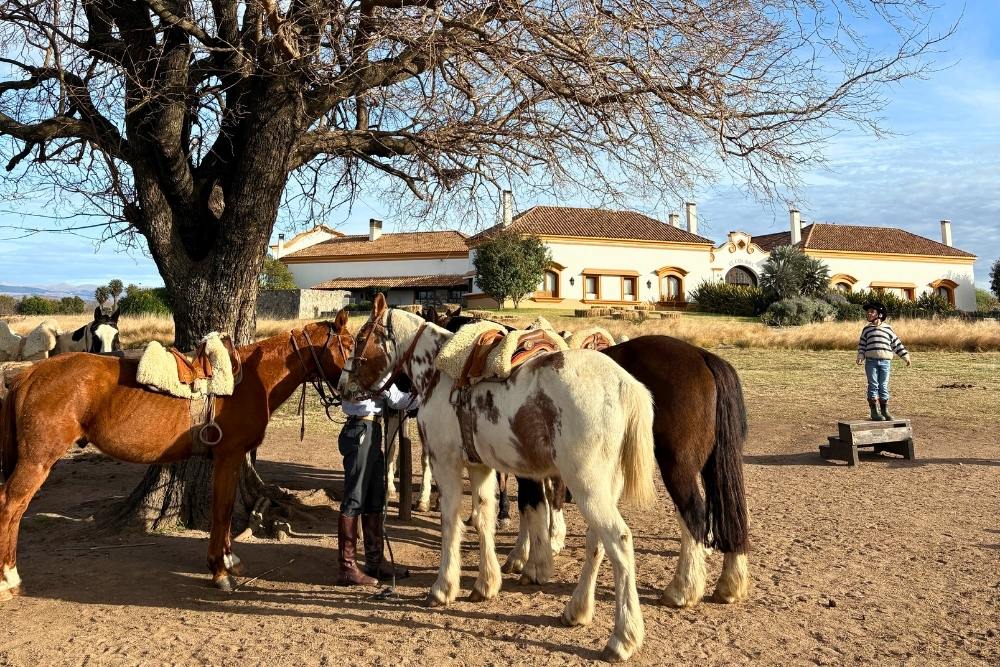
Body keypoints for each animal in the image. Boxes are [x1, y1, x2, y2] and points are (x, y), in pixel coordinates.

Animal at [0, 310, 353, 600]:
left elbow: (224, 511)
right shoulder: (229, 457)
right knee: (11, 507)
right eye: (350, 346)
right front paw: (220, 571)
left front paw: (228, 560)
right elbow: (222, 511)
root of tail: (29, 375)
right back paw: (10, 579)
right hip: (37, 461)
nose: (358, 389)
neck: (251, 380)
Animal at [341, 294, 657, 662]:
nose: (343, 387)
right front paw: (486, 585)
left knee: (618, 540)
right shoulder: (480, 467)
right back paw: (577, 610)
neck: (439, 372)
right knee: (597, 543)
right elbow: (483, 518)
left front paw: (443, 588)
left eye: (360, 339)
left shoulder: (446, 463)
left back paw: (623, 637)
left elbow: (451, 523)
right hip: (603, 488)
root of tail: (625, 384)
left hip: (586, 485)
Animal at [434, 311, 752, 608]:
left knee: (693, 514)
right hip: (711, 466)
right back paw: (729, 582)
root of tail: (703, 357)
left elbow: (531, 504)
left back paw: (681, 590)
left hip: (677, 466)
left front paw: (527, 556)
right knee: (730, 513)